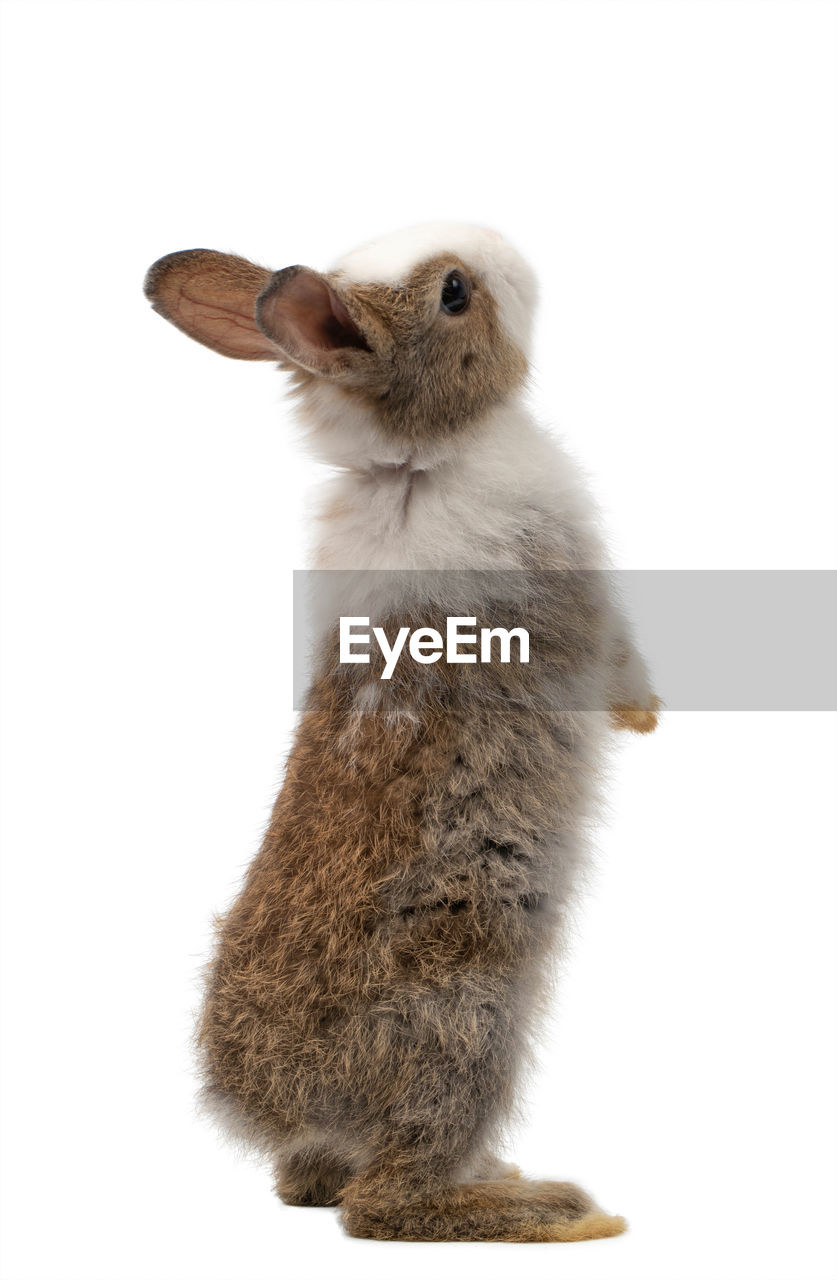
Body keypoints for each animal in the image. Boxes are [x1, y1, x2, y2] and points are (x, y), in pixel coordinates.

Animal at [144, 225, 660, 1244]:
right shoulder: (575, 595)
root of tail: (273, 1105)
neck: (418, 462)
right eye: (454, 293)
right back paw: (555, 1211)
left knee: (313, 1187)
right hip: (466, 1019)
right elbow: (614, 652)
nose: (505, 249)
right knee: (379, 1205)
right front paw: (643, 713)